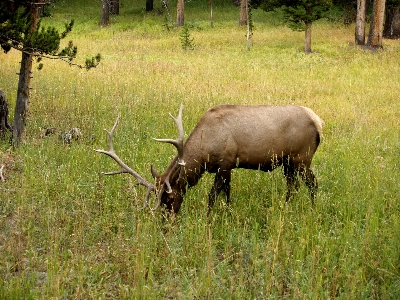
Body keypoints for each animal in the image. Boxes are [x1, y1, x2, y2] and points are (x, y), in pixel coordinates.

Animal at [95, 104, 324, 214]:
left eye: (170, 199)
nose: (166, 222)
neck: (204, 151)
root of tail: (318, 122)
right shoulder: (228, 167)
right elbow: (227, 193)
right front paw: (229, 212)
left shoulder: (225, 163)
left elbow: (212, 196)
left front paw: (208, 218)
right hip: (288, 163)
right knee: (293, 186)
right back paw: (285, 207)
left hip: (302, 158)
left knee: (312, 183)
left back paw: (313, 209)